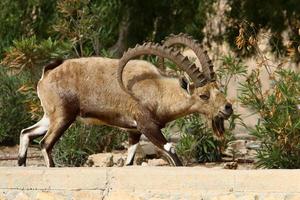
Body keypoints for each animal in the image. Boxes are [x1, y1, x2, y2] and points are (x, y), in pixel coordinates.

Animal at [18, 33, 233, 166]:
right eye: (203, 95)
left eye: (217, 88)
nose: (227, 108)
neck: (158, 90)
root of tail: (47, 74)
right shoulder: (147, 125)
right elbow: (171, 151)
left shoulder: (134, 132)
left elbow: (129, 160)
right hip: (63, 116)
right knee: (45, 144)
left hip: (50, 116)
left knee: (26, 133)